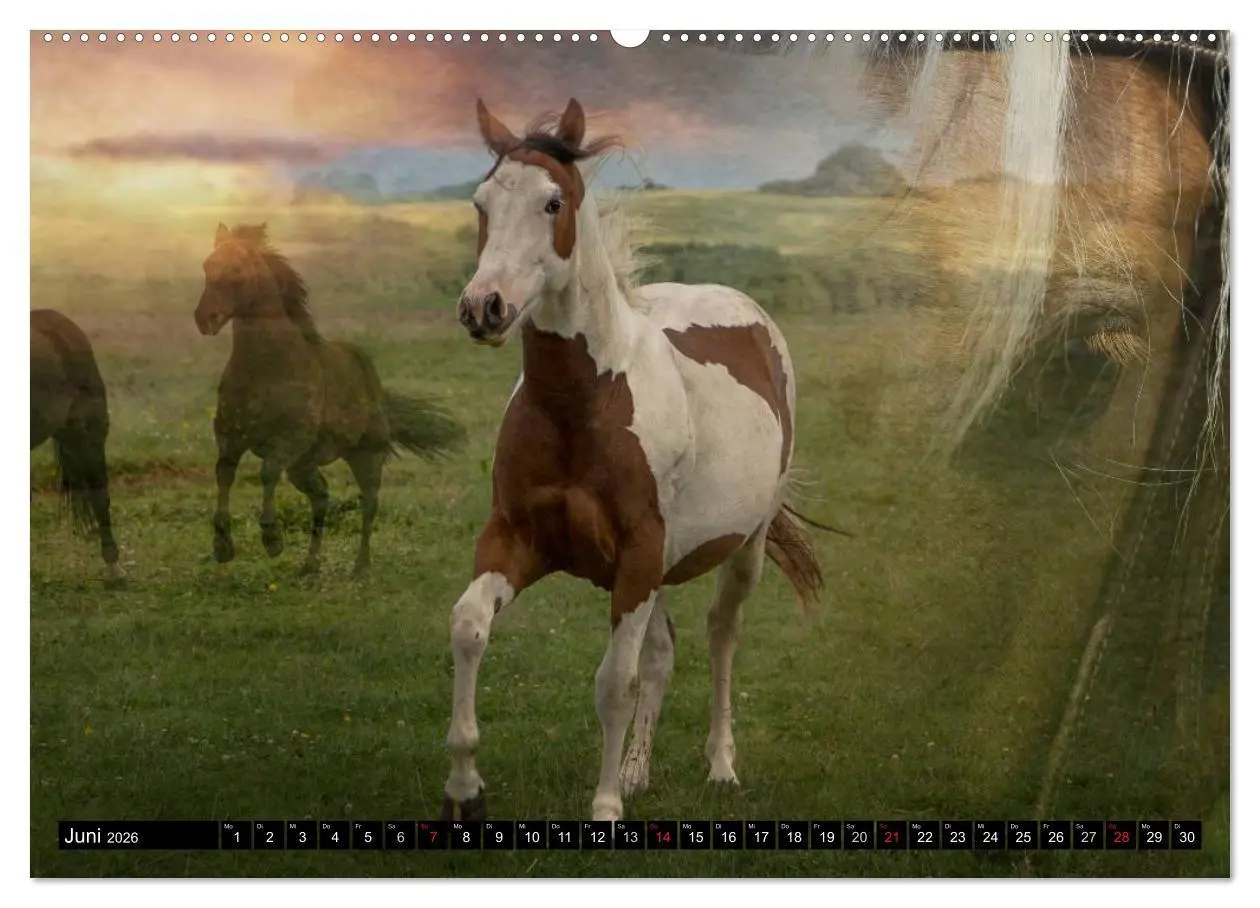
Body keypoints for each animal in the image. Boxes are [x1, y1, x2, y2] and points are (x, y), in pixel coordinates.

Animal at [194, 223, 466, 578]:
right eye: (207, 266)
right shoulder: (230, 437)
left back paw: (360, 568)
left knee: (368, 504)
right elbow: (224, 475)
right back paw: (310, 566)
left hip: (366, 456)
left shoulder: (288, 441)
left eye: (237, 269)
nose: (205, 318)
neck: (266, 367)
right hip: (303, 466)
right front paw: (222, 546)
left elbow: (267, 473)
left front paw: (271, 539)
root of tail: (375, 388)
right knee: (321, 497)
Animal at [440, 98, 827, 823]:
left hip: (743, 548)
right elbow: (469, 627)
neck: (584, 404)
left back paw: (721, 765)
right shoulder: (518, 539)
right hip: (660, 569)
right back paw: (640, 769)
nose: (484, 308)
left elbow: (613, 683)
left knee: (720, 637)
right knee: (663, 654)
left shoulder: (639, 557)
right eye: (481, 202)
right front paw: (464, 787)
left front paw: (605, 805)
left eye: (553, 202)